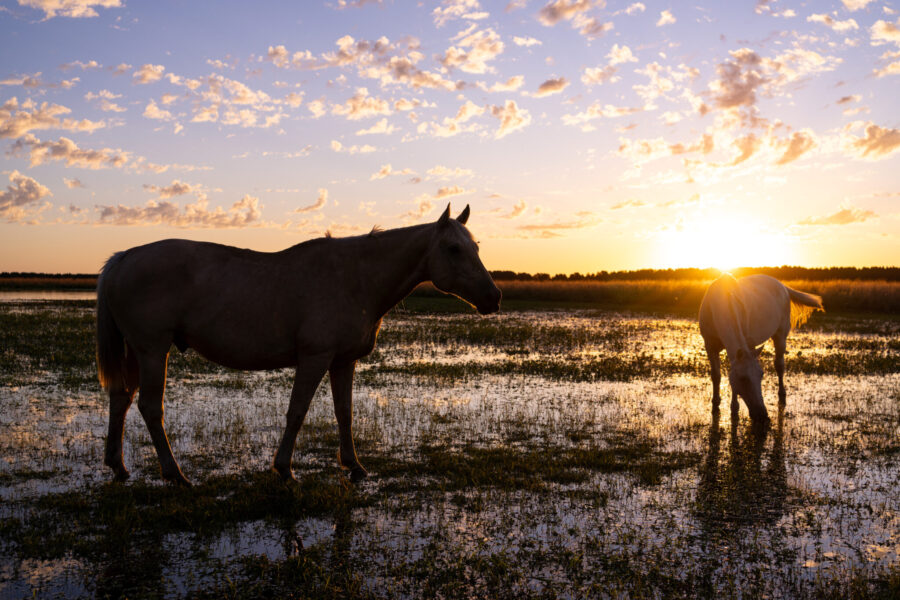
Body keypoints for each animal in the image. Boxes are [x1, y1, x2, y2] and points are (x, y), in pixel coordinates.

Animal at [96, 204, 501, 486]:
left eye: (477, 246)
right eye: (453, 248)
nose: (494, 297)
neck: (356, 278)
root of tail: (123, 258)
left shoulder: (343, 362)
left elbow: (344, 413)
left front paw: (354, 465)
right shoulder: (314, 358)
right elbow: (298, 411)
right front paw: (284, 469)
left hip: (137, 352)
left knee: (121, 398)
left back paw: (119, 466)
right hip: (153, 351)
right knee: (150, 407)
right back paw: (175, 474)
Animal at [699, 273, 823, 423]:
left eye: (761, 375)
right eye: (743, 378)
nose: (762, 415)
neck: (719, 304)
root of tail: (782, 286)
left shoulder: (747, 344)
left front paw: (734, 408)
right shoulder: (709, 345)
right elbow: (716, 375)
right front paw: (716, 402)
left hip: (780, 335)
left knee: (779, 365)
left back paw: (782, 393)